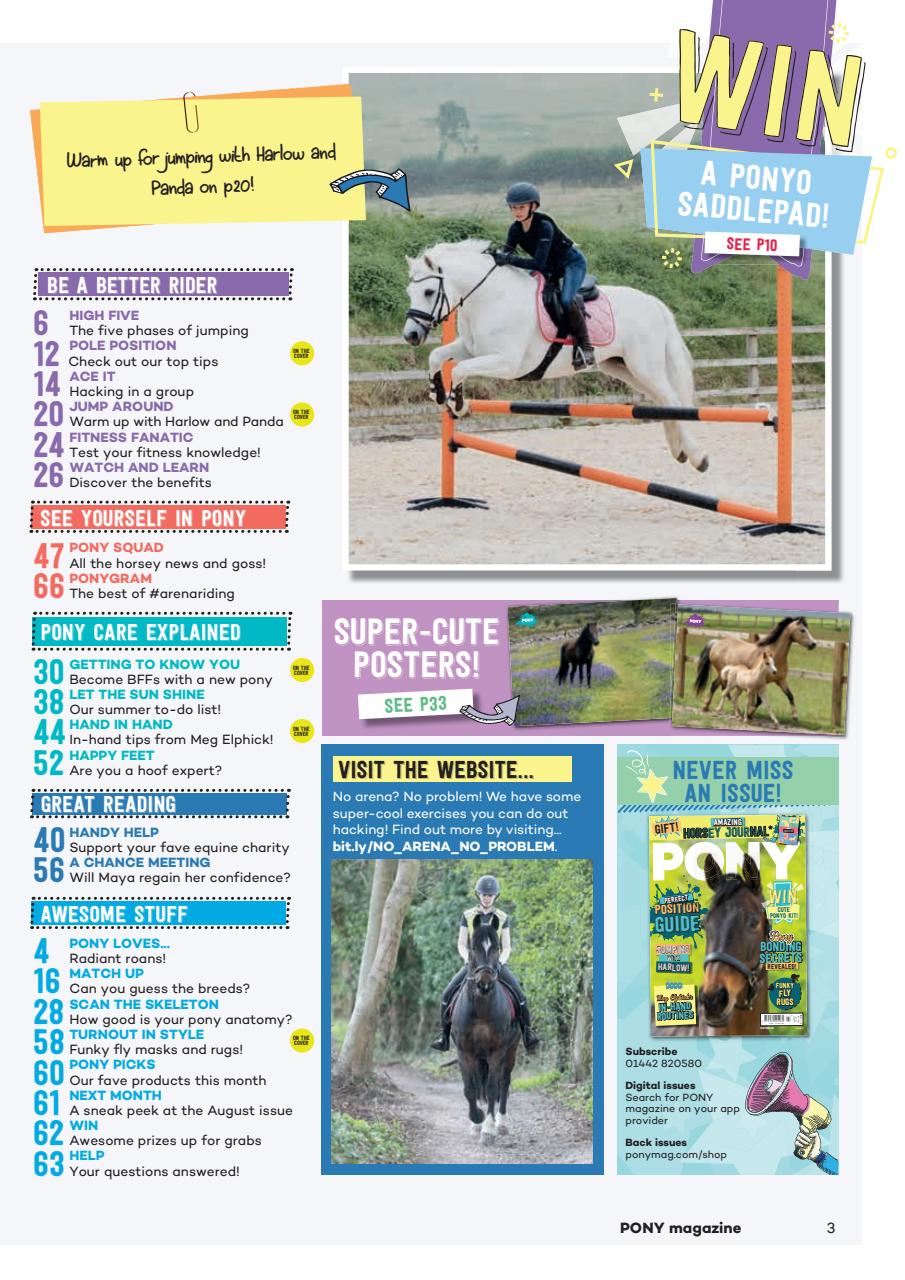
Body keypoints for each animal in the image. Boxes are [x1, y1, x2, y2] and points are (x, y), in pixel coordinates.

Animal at [402, 239, 709, 473]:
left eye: (429, 291)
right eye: (409, 291)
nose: (411, 335)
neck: (491, 298)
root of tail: (654, 303)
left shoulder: (507, 362)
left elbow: (459, 369)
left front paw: (458, 404)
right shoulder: (470, 347)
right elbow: (437, 357)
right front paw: (438, 392)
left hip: (644, 365)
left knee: (672, 400)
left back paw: (698, 457)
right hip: (622, 367)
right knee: (663, 400)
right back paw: (678, 450)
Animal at [450, 921, 520, 1146]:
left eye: (497, 947)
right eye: (473, 947)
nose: (484, 983)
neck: (481, 1008)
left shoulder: (497, 1051)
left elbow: (491, 1088)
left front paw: (488, 1130)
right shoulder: (464, 1052)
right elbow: (470, 1088)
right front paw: (476, 1119)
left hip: (511, 1051)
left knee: (504, 1083)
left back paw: (501, 1124)